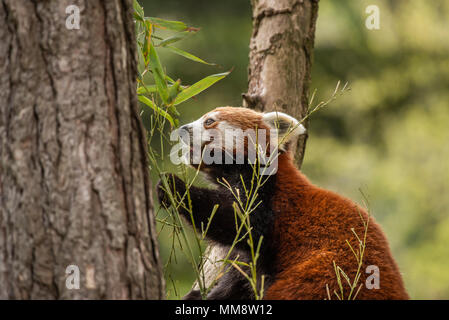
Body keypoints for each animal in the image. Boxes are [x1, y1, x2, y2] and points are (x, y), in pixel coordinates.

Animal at [158, 107, 410, 300]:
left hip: (326, 275)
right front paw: (198, 296)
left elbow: (233, 219)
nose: (183, 129)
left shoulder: (267, 203)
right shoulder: (251, 257)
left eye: (209, 121)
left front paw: (174, 187)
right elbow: (239, 279)